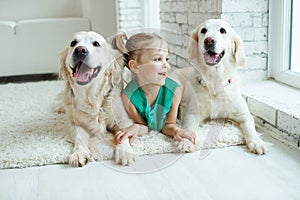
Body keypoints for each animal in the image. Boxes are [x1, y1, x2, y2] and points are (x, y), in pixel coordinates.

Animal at [59, 30, 136, 166]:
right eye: (73, 43)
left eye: (96, 43)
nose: (80, 50)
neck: (91, 96)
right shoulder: (76, 123)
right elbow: (79, 138)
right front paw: (79, 153)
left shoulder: (123, 119)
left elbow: (124, 133)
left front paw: (125, 152)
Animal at [171, 18, 268, 154]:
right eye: (203, 30)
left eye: (223, 30)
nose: (209, 40)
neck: (215, 81)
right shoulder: (193, 113)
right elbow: (189, 128)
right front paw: (186, 141)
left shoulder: (243, 114)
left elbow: (250, 127)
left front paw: (257, 142)